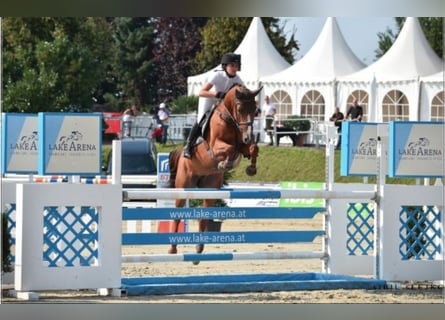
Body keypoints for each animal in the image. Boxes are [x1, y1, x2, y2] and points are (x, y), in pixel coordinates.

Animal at [168, 84, 262, 258]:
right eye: (240, 108)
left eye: (255, 109)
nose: (248, 136)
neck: (230, 120)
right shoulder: (215, 146)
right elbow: (230, 149)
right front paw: (225, 163)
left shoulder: (243, 145)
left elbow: (253, 148)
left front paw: (251, 168)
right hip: (184, 186)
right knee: (177, 214)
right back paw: (173, 248)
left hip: (209, 188)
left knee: (204, 215)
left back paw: (199, 248)